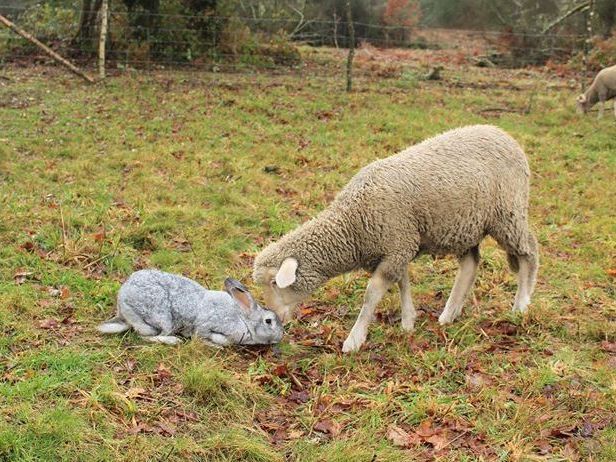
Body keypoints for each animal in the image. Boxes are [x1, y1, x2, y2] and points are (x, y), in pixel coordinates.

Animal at [97, 269, 284, 346]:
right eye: (269, 321)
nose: (280, 336)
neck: (244, 319)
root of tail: (122, 301)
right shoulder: (207, 325)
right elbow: (204, 336)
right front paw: (215, 345)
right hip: (162, 317)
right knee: (147, 337)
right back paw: (174, 341)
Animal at [253, 125, 539, 353]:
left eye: (275, 283)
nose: (274, 318)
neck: (352, 224)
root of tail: (502, 133)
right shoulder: (398, 246)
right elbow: (403, 283)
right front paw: (408, 321)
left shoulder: (397, 245)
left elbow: (371, 294)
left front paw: (354, 340)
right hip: (465, 225)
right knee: (470, 265)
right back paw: (449, 314)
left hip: (508, 212)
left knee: (529, 252)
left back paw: (521, 305)